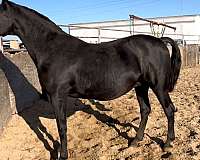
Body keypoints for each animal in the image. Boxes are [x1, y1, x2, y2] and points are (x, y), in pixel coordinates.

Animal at [0, 0, 181, 159]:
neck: (52, 49)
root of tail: (160, 41)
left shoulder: (57, 96)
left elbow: (61, 127)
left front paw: (63, 155)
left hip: (158, 87)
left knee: (169, 110)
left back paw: (167, 143)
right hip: (141, 86)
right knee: (145, 110)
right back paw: (136, 141)